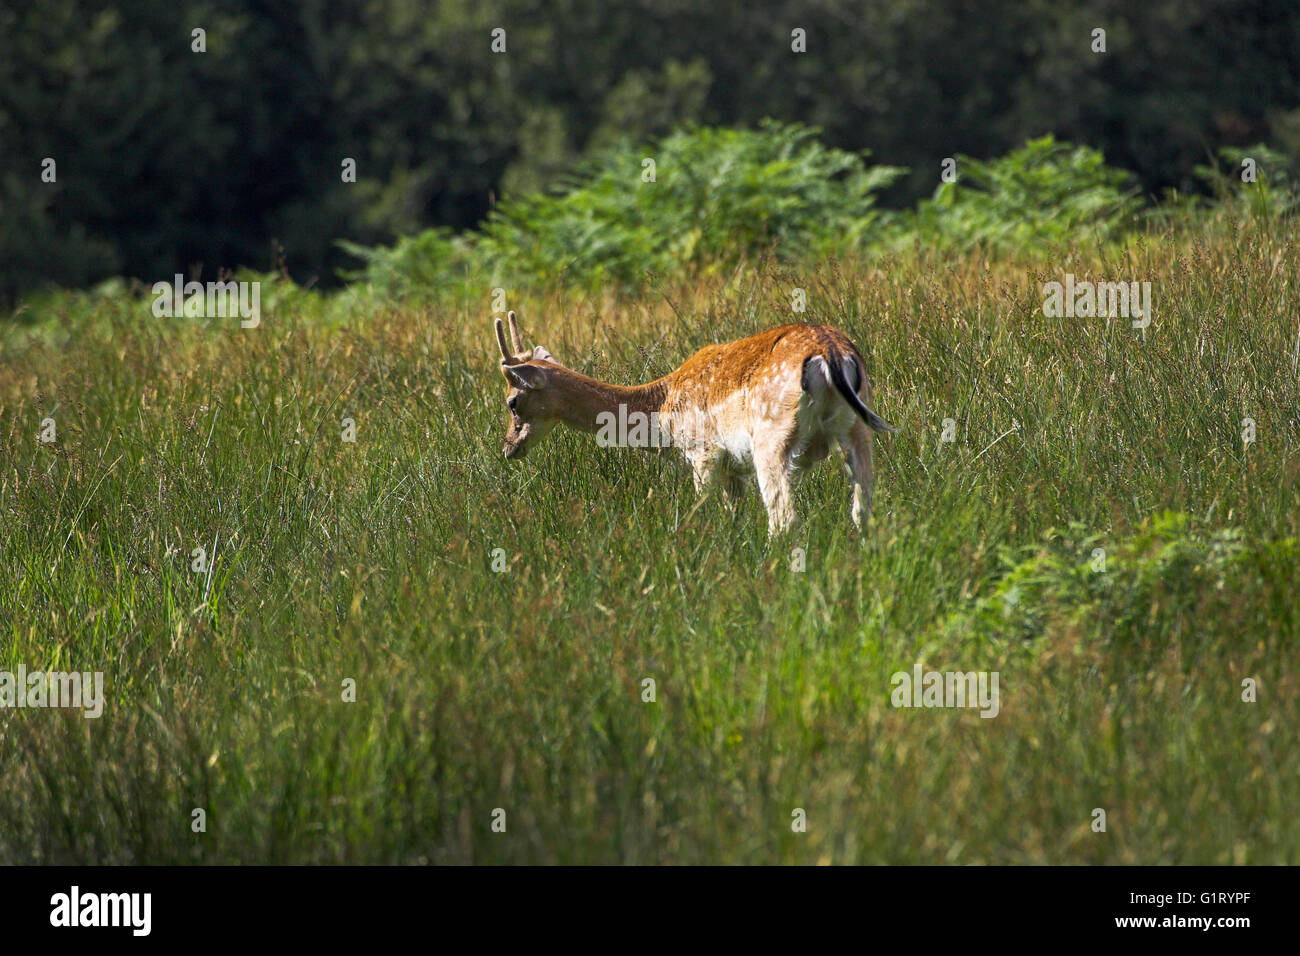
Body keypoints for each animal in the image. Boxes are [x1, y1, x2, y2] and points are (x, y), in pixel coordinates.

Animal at [493, 310, 894, 535]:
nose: (508, 447)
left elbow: (705, 510)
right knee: (863, 510)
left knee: (784, 518)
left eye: (512, 402)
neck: (662, 411)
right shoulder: (734, 468)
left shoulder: (703, 450)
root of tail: (832, 353)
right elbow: (732, 517)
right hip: (857, 428)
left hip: (771, 434)